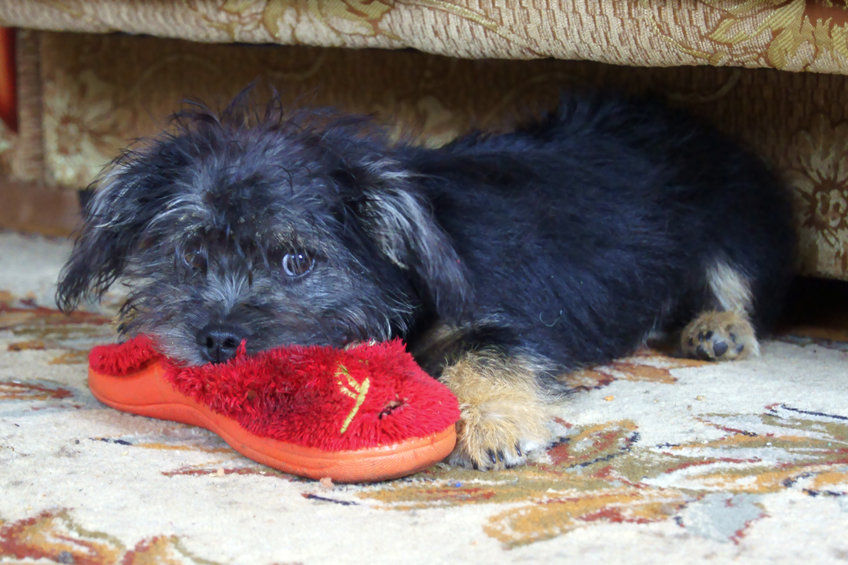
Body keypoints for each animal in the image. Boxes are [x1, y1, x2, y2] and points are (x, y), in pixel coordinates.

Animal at [58, 88, 796, 468]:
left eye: (297, 261)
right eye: (189, 254)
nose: (215, 341)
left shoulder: (497, 317)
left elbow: (484, 353)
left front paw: (496, 423)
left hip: (735, 216)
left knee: (734, 281)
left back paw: (718, 328)